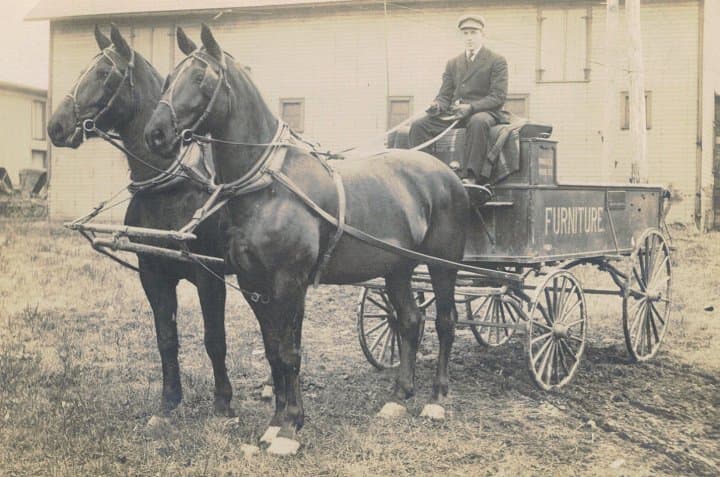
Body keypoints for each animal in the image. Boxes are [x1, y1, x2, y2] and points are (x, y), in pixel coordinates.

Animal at [48, 24, 239, 416]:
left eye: (103, 72)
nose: (56, 126)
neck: (172, 186)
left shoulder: (209, 275)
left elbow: (214, 339)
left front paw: (223, 402)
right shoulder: (152, 273)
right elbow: (166, 338)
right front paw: (169, 403)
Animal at [143, 25, 470, 454]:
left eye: (200, 77)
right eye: (167, 78)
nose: (156, 134)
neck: (268, 187)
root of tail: (447, 174)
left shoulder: (289, 283)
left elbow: (289, 352)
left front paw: (288, 429)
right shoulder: (254, 284)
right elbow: (272, 351)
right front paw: (275, 422)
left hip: (442, 265)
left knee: (446, 322)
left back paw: (436, 399)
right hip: (397, 267)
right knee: (411, 321)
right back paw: (399, 397)